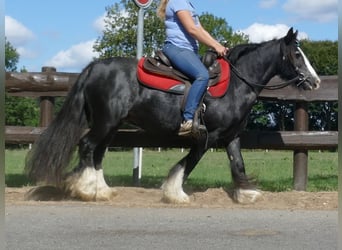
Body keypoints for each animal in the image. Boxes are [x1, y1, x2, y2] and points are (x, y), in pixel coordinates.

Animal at [26, 27, 320, 203]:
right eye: (297, 54)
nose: (315, 81)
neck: (236, 83)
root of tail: (94, 67)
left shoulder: (231, 136)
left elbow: (238, 163)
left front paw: (247, 193)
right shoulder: (208, 136)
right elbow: (189, 162)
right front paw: (175, 193)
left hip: (111, 125)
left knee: (97, 153)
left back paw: (103, 190)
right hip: (105, 122)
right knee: (87, 146)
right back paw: (89, 190)